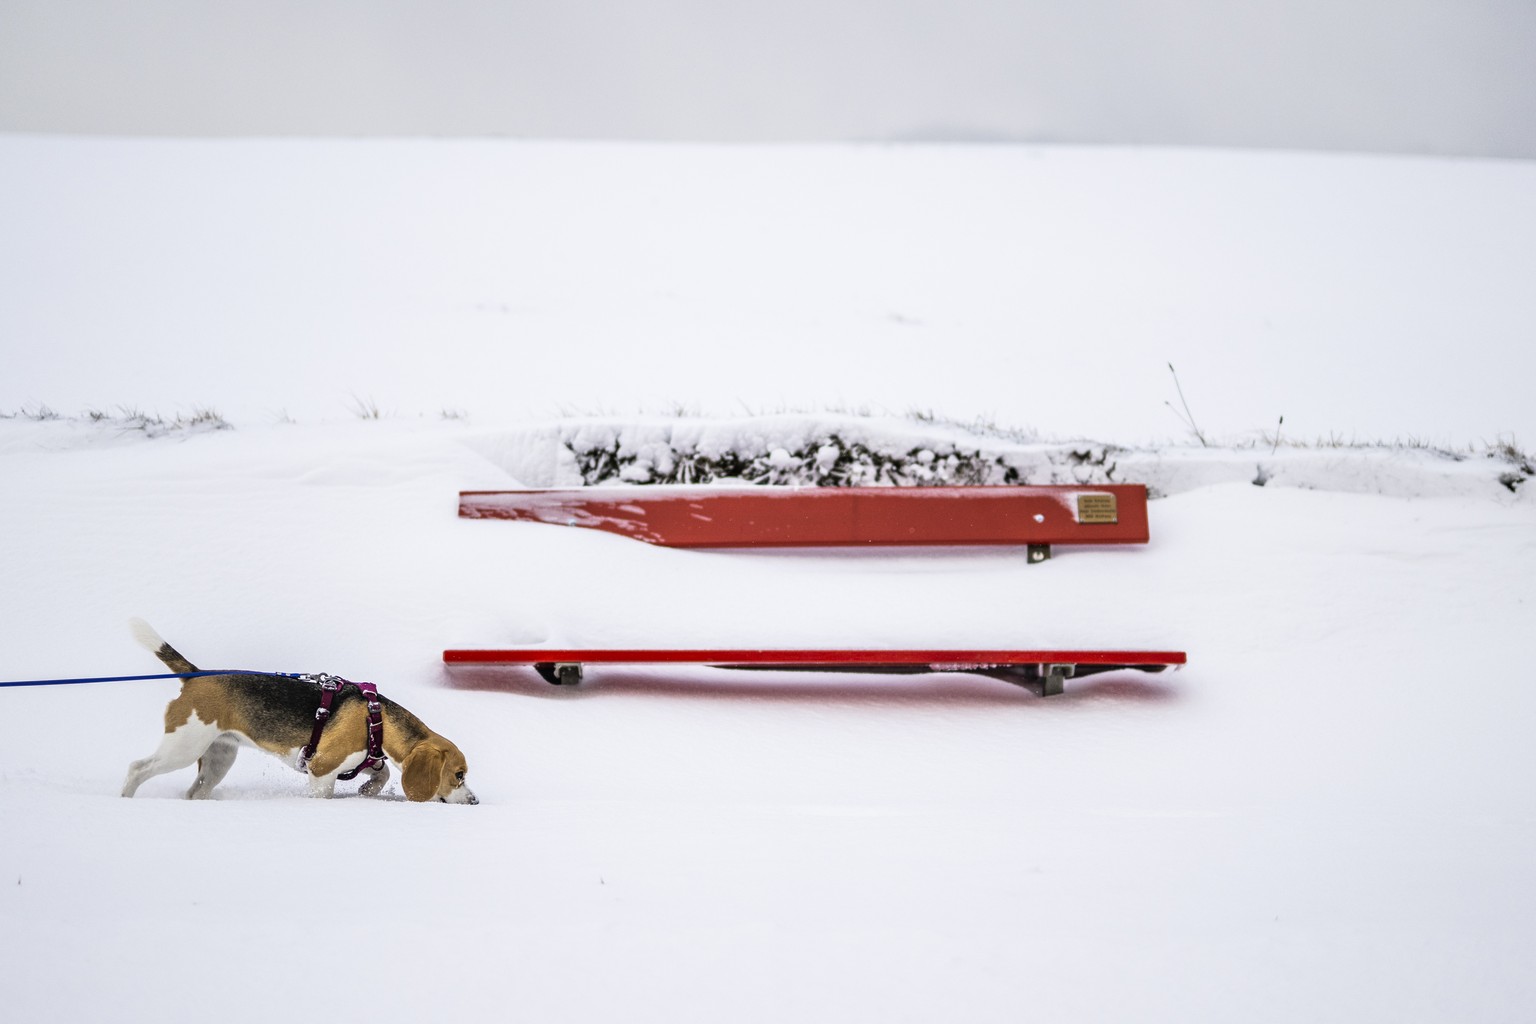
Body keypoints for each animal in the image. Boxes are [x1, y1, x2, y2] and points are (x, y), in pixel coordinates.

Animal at [122, 620, 473, 804]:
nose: (475, 801)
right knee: (138, 768)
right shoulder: (321, 769)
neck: (378, 720)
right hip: (184, 746)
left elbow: (382, 771)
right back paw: (125, 798)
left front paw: (367, 790)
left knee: (196, 790)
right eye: (459, 775)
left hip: (218, 757)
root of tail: (197, 674)